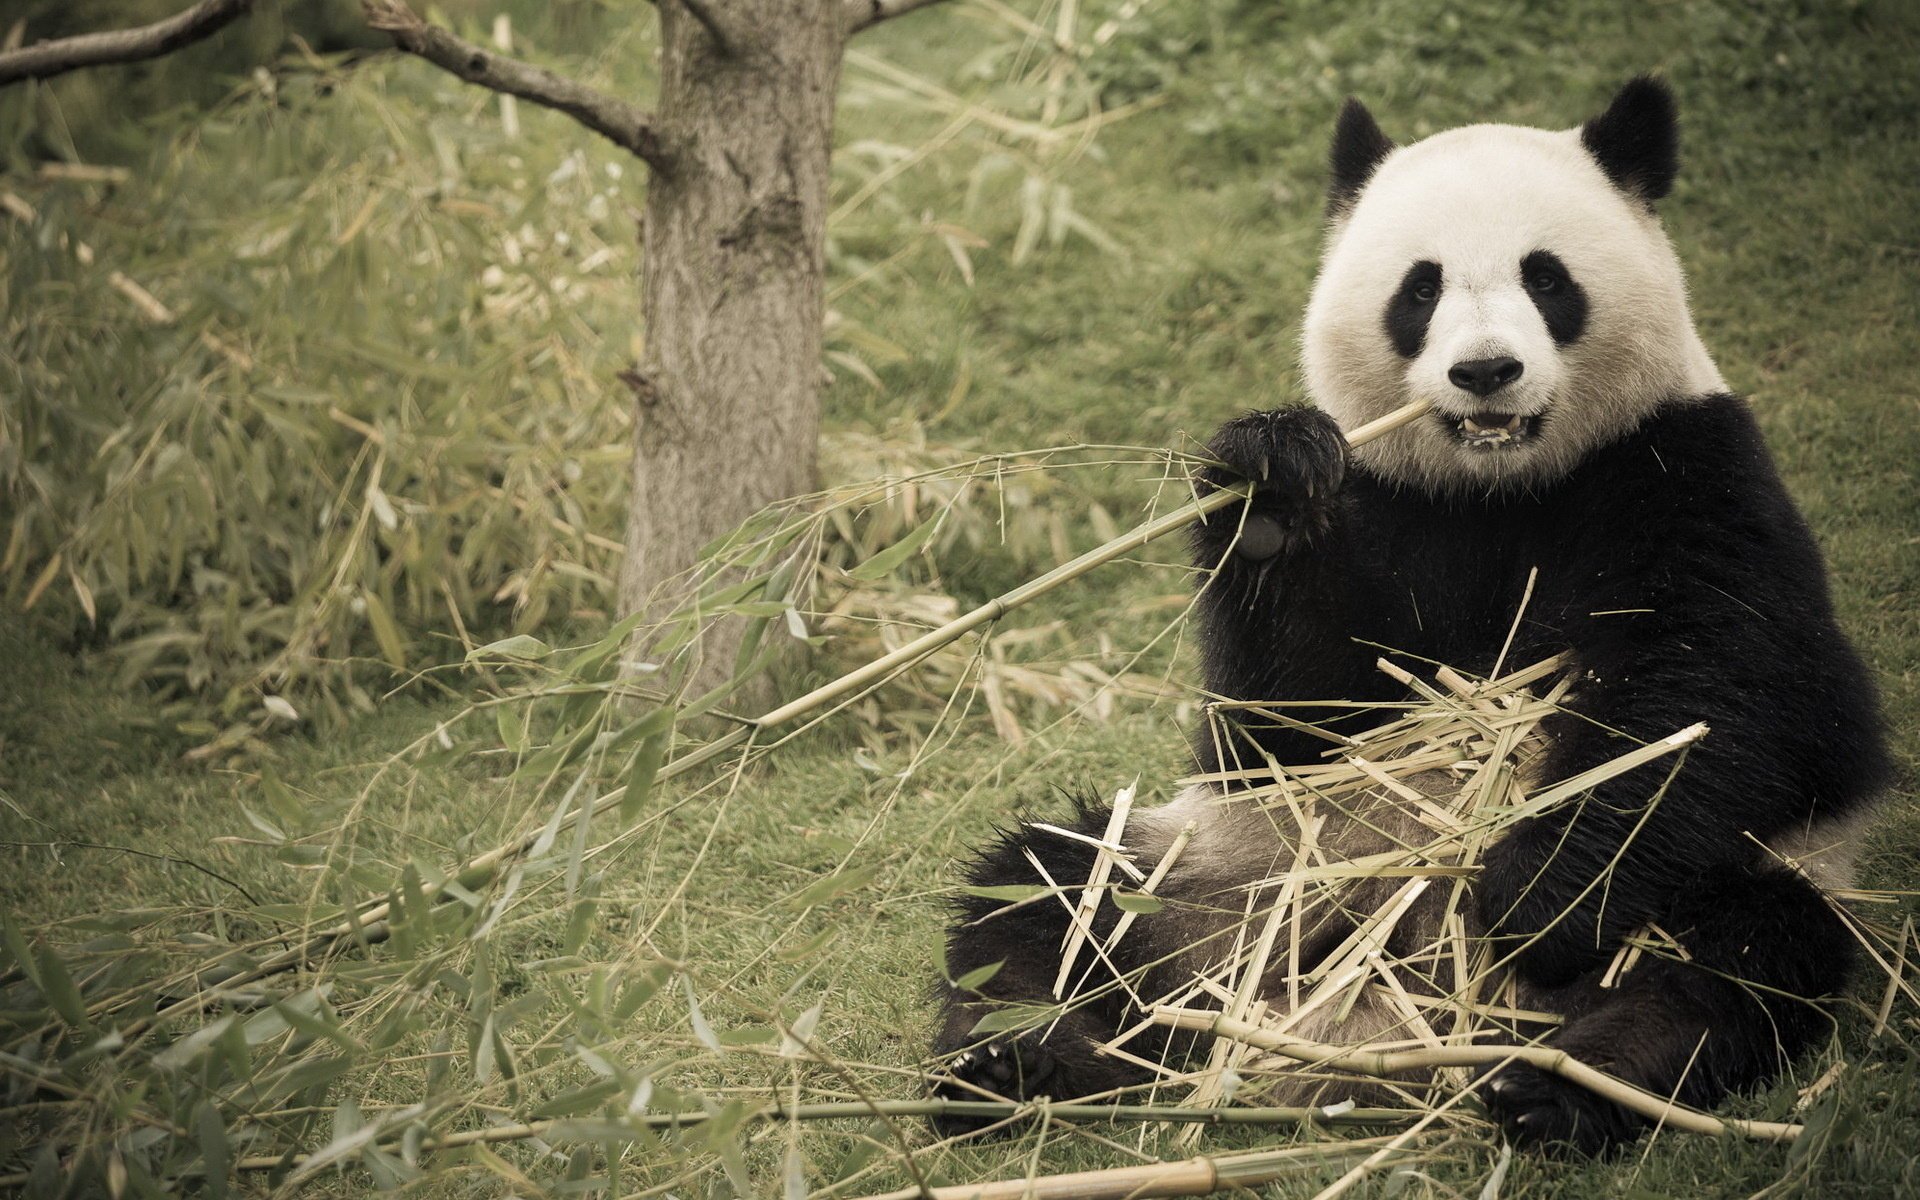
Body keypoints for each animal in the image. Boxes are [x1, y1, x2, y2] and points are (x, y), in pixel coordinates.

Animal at [929, 77, 1889, 1152]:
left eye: (1546, 278)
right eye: (1419, 290)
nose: (1485, 372)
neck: (1500, 486)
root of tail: (1385, 1028)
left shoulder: (1686, 469)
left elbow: (1724, 694)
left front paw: (1537, 895)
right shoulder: (1386, 501)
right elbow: (1285, 723)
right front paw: (1270, 485)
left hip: (1741, 881)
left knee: (1733, 964)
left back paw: (1561, 1085)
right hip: (1227, 873)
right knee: (1046, 897)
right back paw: (1013, 1062)